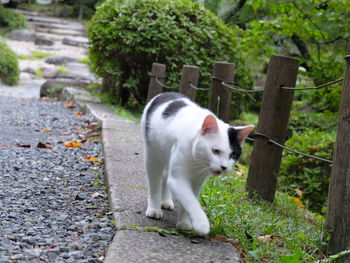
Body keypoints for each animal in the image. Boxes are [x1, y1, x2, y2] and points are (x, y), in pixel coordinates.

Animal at [141, 93, 253, 237]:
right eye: (215, 151)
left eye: (233, 155)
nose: (224, 167)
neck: (198, 161)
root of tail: (166, 93)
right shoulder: (178, 179)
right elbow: (190, 200)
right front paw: (202, 224)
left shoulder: (198, 180)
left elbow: (190, 199)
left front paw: (184, 222)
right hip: (153, 156)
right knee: (154, 182)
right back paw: (154, 209)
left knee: (165, 178)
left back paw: (166, 201)